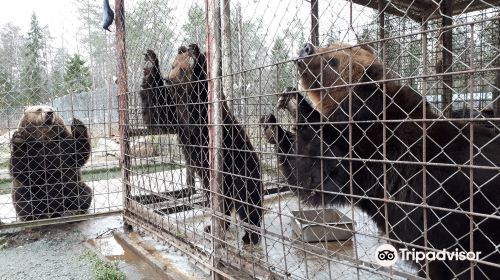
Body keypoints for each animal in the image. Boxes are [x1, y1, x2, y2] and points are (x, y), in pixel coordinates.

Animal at [139, 44, 264, 244]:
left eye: (182, 69)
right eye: (173, 65)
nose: (169, 79)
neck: (183, 96)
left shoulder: (203, 117)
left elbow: (201, 93)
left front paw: (198, 57)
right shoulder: (175, 117)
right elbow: (156, 114)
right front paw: (151, 63)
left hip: (241, 169)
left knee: (248, 203)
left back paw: (250, 235)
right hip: (215, 183)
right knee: (221, 204)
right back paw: (213, 227)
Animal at [260, 42, 500, 278]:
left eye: (333, 60)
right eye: (327, 45)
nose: (307, 48)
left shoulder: (374, 148)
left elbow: (325, 170)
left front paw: (298, 104)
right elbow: (310, 177)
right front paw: (274, 124)